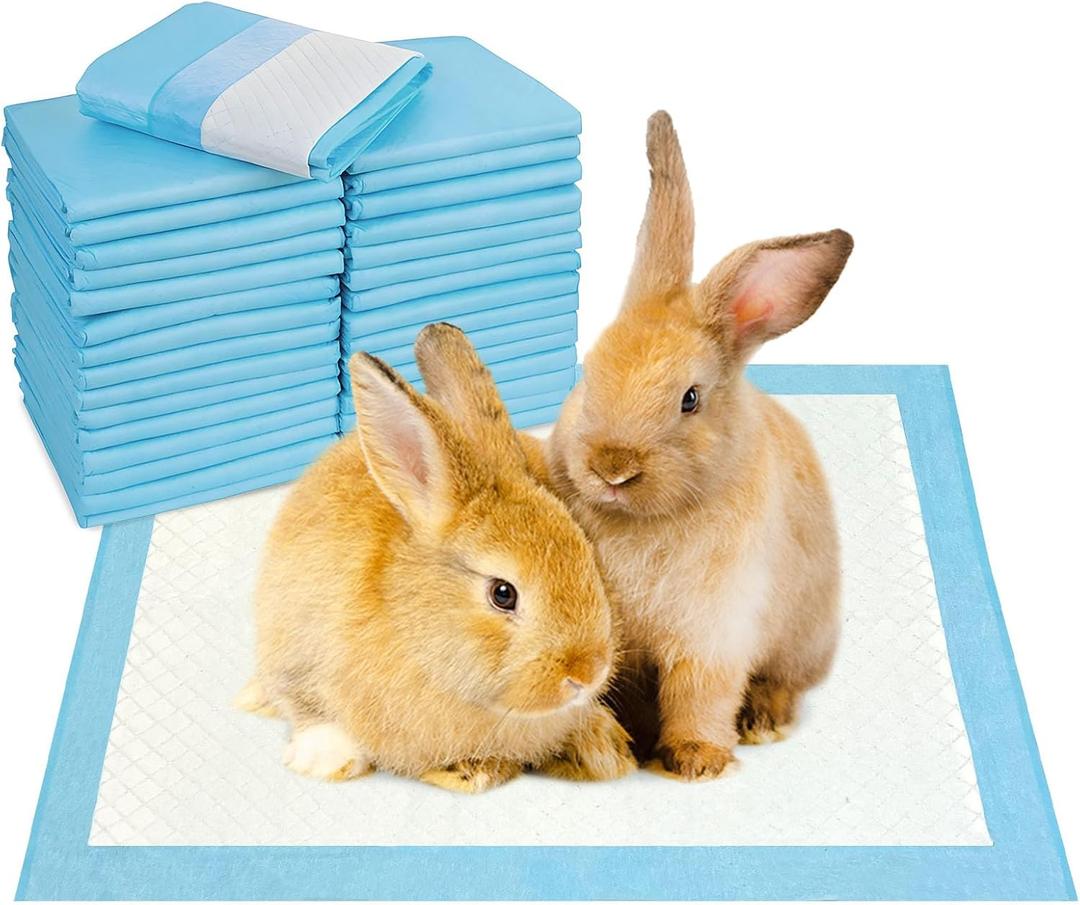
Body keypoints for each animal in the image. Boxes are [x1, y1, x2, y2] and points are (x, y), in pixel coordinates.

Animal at [238, 324, 635, 792]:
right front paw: (325, 760)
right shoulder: (296, 651)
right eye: (503, 593)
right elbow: (308, 708)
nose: (587, 673)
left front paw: (600, 748)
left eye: (587, 554)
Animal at [545, 111, 851, 780]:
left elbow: (701, 692)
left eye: (690, 399)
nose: (612, 467)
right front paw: (620, 744)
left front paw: (696, 759)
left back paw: (763, 719)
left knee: (786, 680)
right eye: (590, 373)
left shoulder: (715, 635)